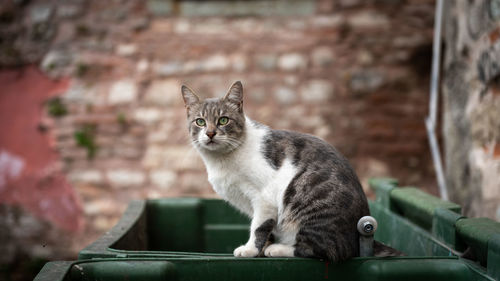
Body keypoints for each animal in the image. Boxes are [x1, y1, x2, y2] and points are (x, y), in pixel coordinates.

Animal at [182, 80, 370, 260]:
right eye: (200, 121)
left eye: (223, 120)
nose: (210, 133)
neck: (221, 159)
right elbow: (268, 229)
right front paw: (260, 250)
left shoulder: (264, 198)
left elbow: (258, 227)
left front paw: (250, 250)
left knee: (324, 249)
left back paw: (279, 249)